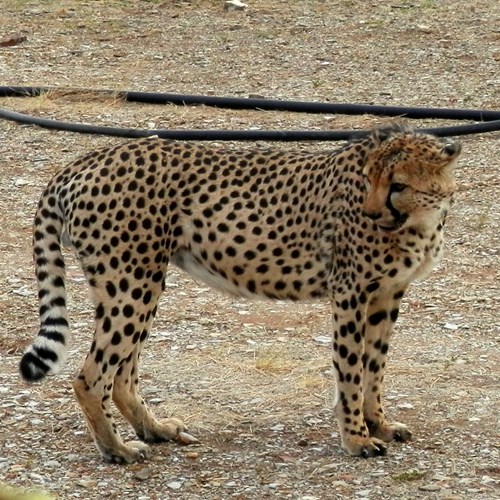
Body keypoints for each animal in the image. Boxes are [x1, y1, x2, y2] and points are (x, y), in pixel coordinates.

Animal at [21, 123, 462, 462]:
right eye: (370, 180)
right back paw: (118, 450)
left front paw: (379, 424)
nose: (370, 213)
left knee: (122, 376)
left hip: (140, 283)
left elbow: (376, 367)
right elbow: (351, 369)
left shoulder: (387, 294)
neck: (419, 219)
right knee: (91, 377)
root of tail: (91, 157)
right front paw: (356, 437)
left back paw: (155, 429)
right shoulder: (350, 292)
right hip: (132, 283)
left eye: (397, 185)